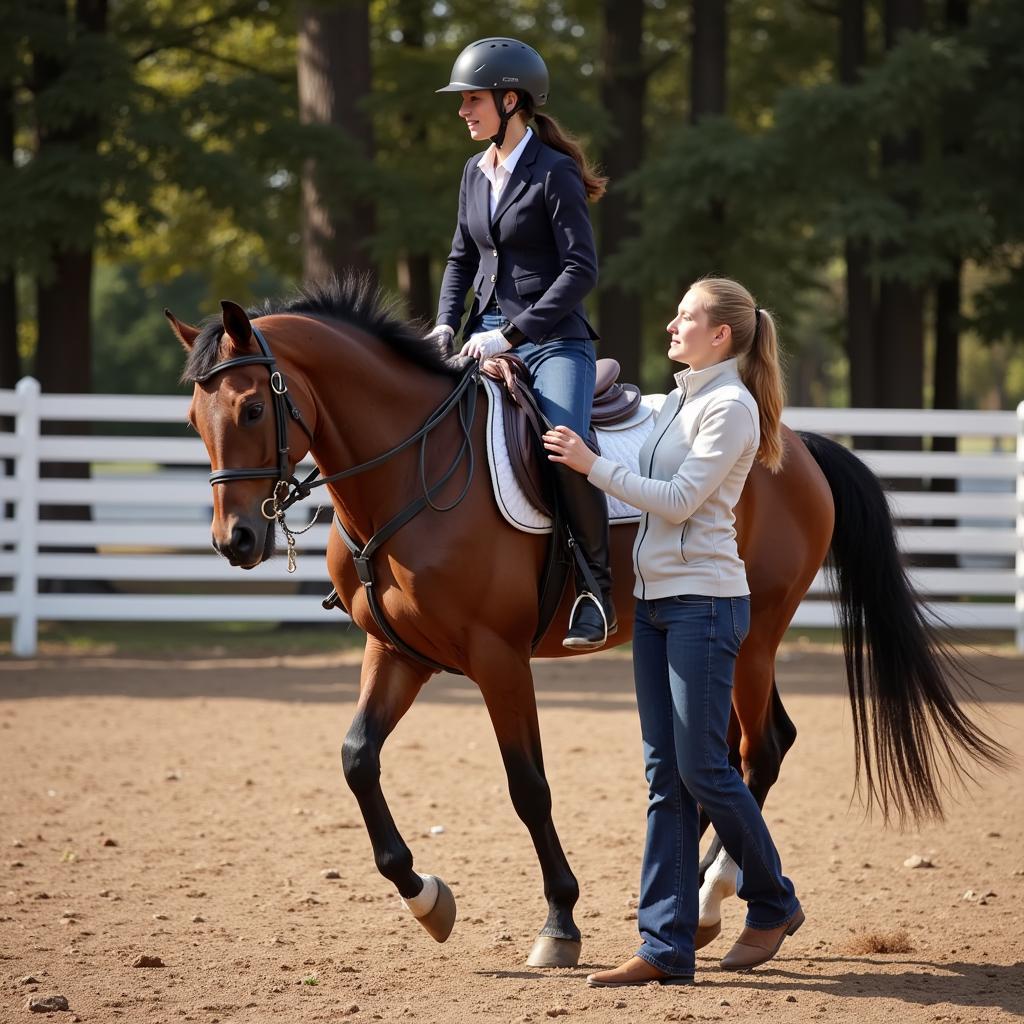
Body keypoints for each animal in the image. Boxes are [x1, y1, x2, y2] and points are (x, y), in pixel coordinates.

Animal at [167, 278, 1007, 966]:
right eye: (193, 417)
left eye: (251, 407)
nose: (235, 540)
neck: (411, 468)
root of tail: (793, 445)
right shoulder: (398, 652)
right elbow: (356, 760)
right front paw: (426, 897)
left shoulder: (497, 658)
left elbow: (527, 786)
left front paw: (559, 923)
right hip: (744, 643)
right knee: (756, 747)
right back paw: (709, 901)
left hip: (755, 638)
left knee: (756, 749)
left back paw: (710, 899)